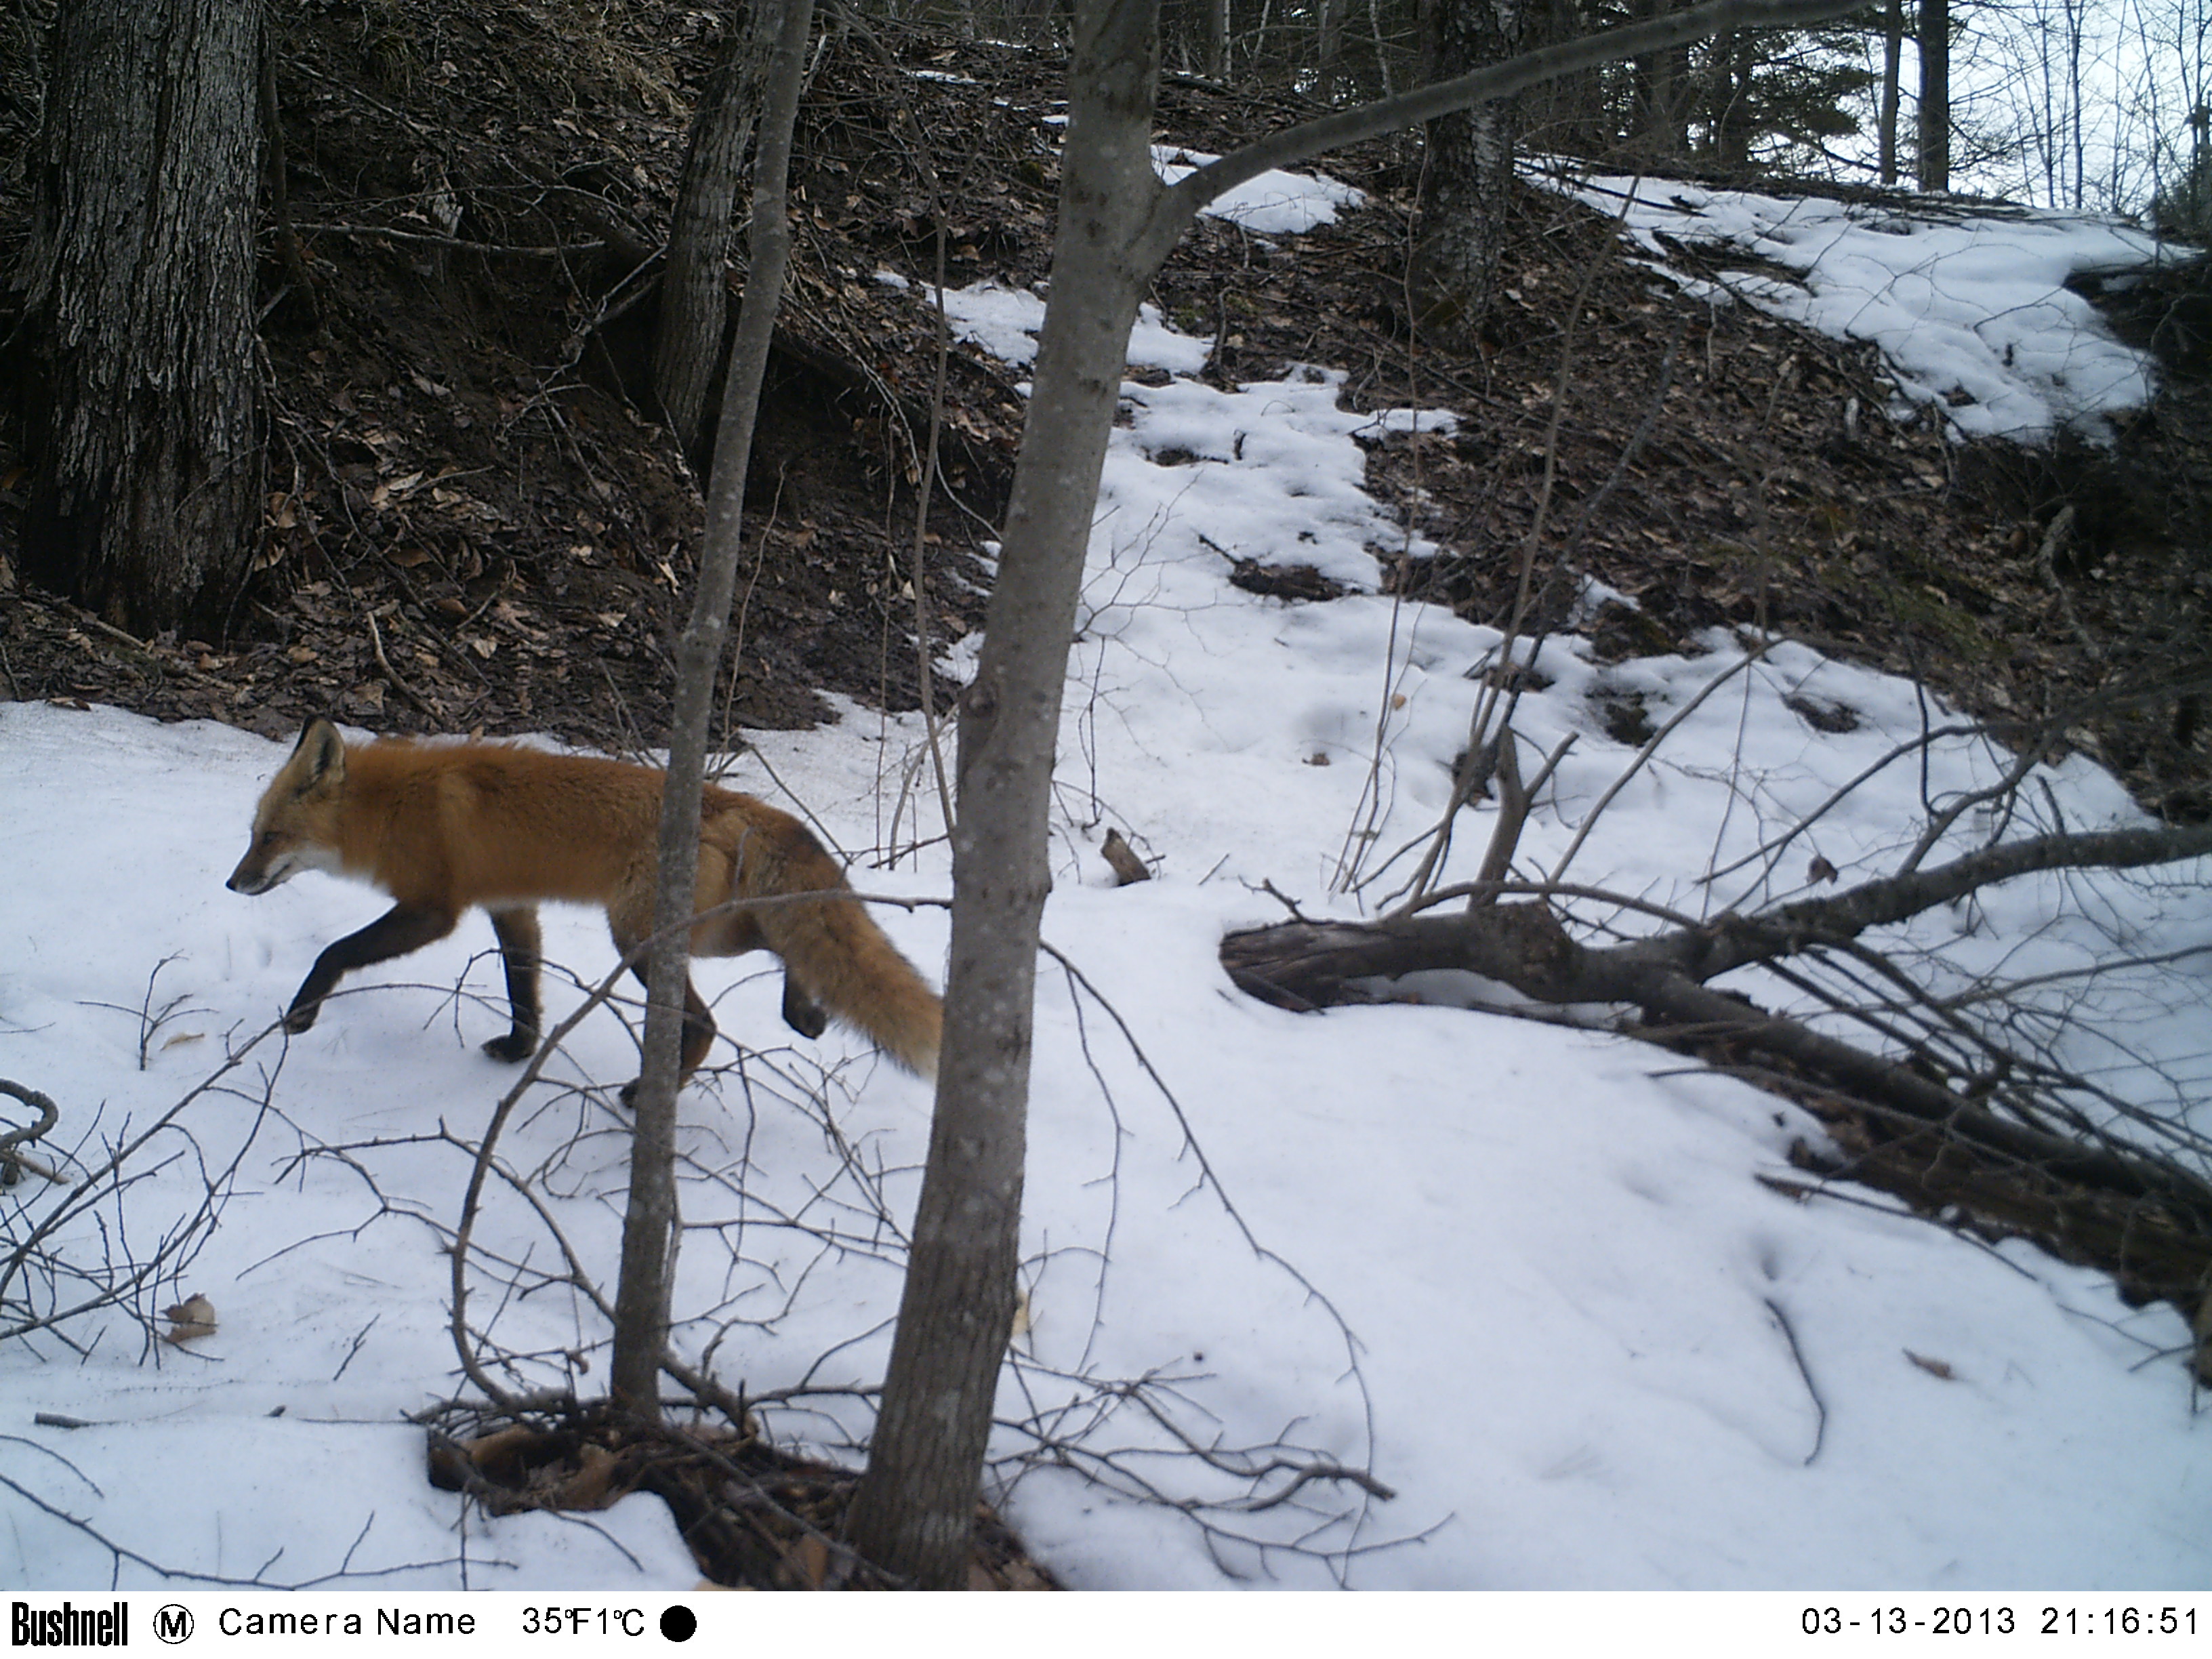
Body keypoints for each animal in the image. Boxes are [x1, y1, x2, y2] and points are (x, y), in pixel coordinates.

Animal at [226, 718, 940, 1095]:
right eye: (252, 834)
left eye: (271, 838)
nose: (234, 884)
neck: (395, 806)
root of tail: (750, 810)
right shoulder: (512, 906)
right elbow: (524, 990)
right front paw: (520, 1050)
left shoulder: (433, 908)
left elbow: (335, 951)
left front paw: (302, 1014)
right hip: (715, 931)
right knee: (792, 946)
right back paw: (806, 1015)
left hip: (640, 939)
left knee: (708, 1022)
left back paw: (653, 1090)